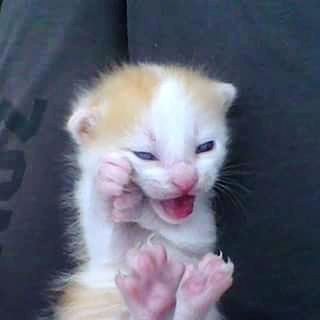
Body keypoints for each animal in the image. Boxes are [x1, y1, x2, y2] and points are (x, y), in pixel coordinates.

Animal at [54, 63, 235, 320]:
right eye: (145, 155)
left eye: (205, 147)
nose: (186, 180)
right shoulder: (104, 258)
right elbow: (105, 234)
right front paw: (106, 182)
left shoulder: (202, 229)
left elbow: (188, 232)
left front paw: (135, 207)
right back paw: (154, 295)